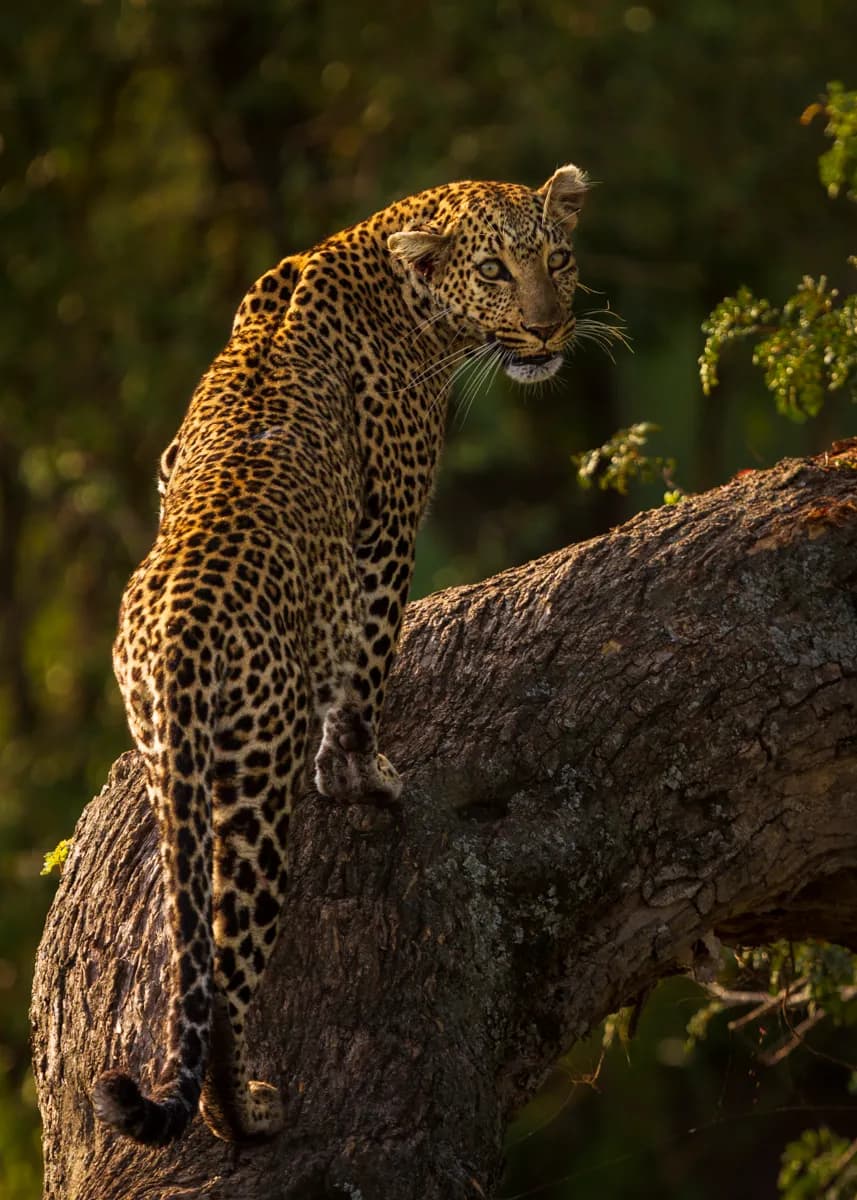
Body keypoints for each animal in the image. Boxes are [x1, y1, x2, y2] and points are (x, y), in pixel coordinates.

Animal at [92, 163, 589, 1145]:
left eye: (555, 257)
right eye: (496, 271)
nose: (550, 327)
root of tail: (176, 635)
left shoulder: (171, 460)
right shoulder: (388, 519)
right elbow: (365, 668)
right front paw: (365, 777)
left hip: (175, 769)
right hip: (251, 792)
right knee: (229, 972)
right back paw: (242, 1113)